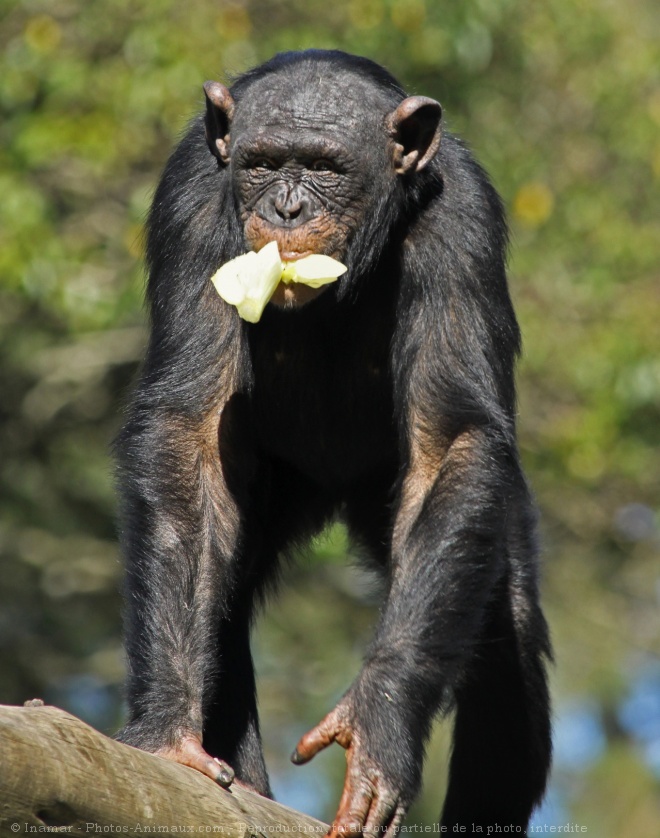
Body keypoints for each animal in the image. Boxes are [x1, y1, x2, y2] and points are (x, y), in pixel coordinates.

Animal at [117, 49, 552, 836]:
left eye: (326, 167)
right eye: (263, 164)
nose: (288, 209)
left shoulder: (464, 218)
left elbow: (453, 441)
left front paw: (377, 723)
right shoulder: (189, 198)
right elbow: (187, 437)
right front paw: (167, 731)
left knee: (503, 642)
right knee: (225, 589)